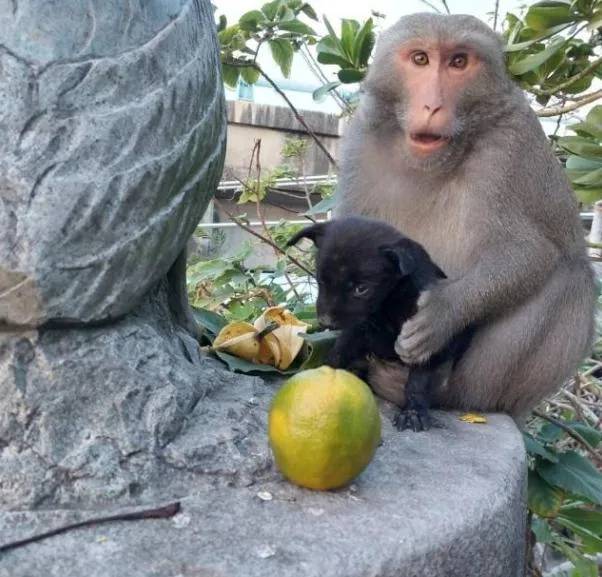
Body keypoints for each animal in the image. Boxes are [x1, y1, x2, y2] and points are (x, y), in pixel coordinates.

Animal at [288, 214, 474, 430]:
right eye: (321, 280)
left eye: (361, 289)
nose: (325, 322)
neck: (388, 302)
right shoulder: (357, 328)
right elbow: (339, 351)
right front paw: (325, 373)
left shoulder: (425, 338)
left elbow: (418, 380)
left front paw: (413, 411)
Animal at [336, 12, 592, 418]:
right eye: (421, 59)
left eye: (459, 62)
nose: (433, 107)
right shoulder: (361, 136)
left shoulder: (508, 146)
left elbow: (528, 252)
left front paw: (442, 312)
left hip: (481, 381)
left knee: (569, 279)